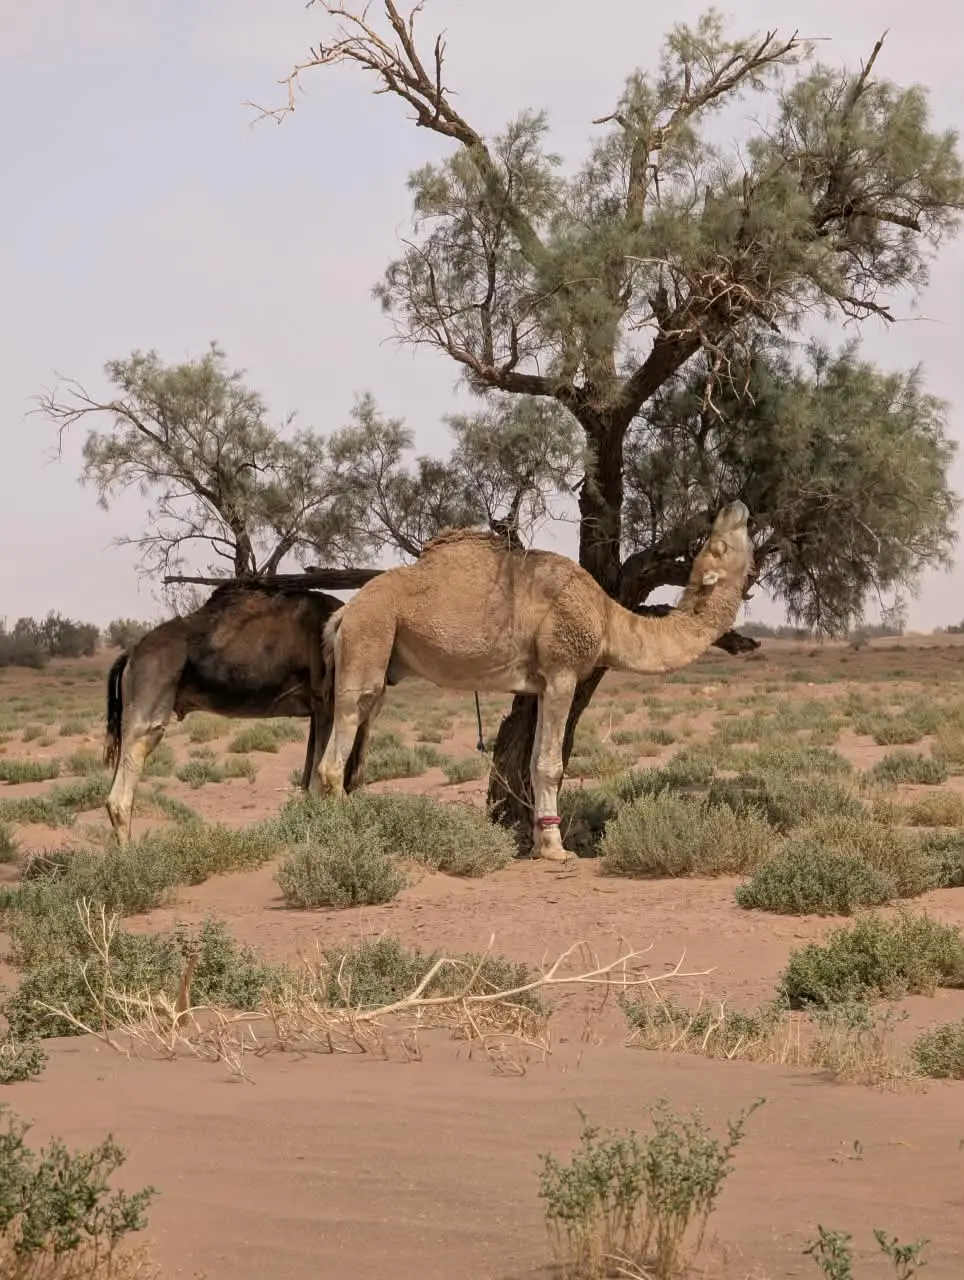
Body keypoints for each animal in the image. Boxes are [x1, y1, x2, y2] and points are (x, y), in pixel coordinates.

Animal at [103, 582, 368, 844]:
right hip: (148, 711)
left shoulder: (318, 707)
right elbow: (320, 776)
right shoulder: (325, 701)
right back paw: (131, 853)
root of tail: (130, 655)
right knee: (120, 796)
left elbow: (310, 776)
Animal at [315, 500, 755, 861]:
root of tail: (345, 613)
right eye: (718, 546)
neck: (608, 621)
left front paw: (541, 844)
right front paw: (557, 850)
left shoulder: (543, 684)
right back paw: (342, 833)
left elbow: (532, 762)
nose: (735, 506)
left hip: (379, 653)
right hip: (370, 633)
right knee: (343, 735)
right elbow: (550, 765)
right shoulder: (563, 670)